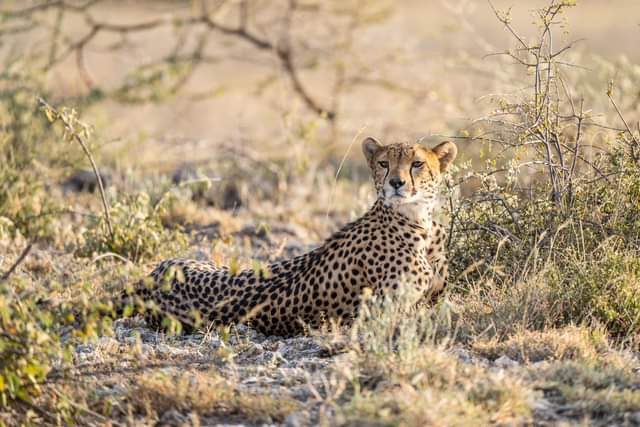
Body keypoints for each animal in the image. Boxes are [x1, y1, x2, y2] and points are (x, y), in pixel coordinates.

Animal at [119, 137, 457, 336]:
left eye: (417, 164)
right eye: (384, 163)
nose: (396, 183)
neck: (419, 221)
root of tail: (148, 278)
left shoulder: (432, 298)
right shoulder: (384, 312)